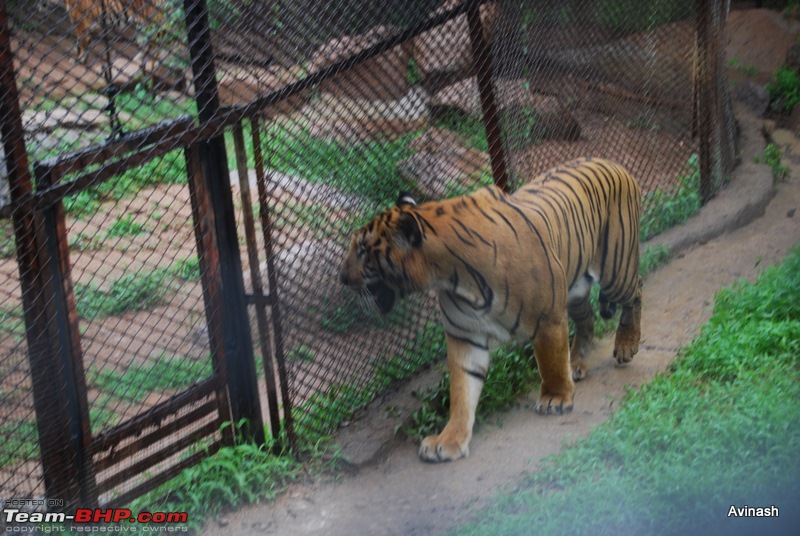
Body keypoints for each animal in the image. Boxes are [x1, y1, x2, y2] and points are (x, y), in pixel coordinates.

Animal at [338, 157, 644, 462]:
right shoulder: (464, 335)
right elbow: (462, 390)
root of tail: (612, 162)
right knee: (587, 319)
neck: (452, 277)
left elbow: (551, 362)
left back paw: (626, 345)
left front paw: (556, 397)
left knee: (636, 289)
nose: (342, 277)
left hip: (616, 270)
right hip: (575, 287)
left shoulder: (548, 318)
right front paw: (448, 440)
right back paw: (577, 363)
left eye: (363, 250)